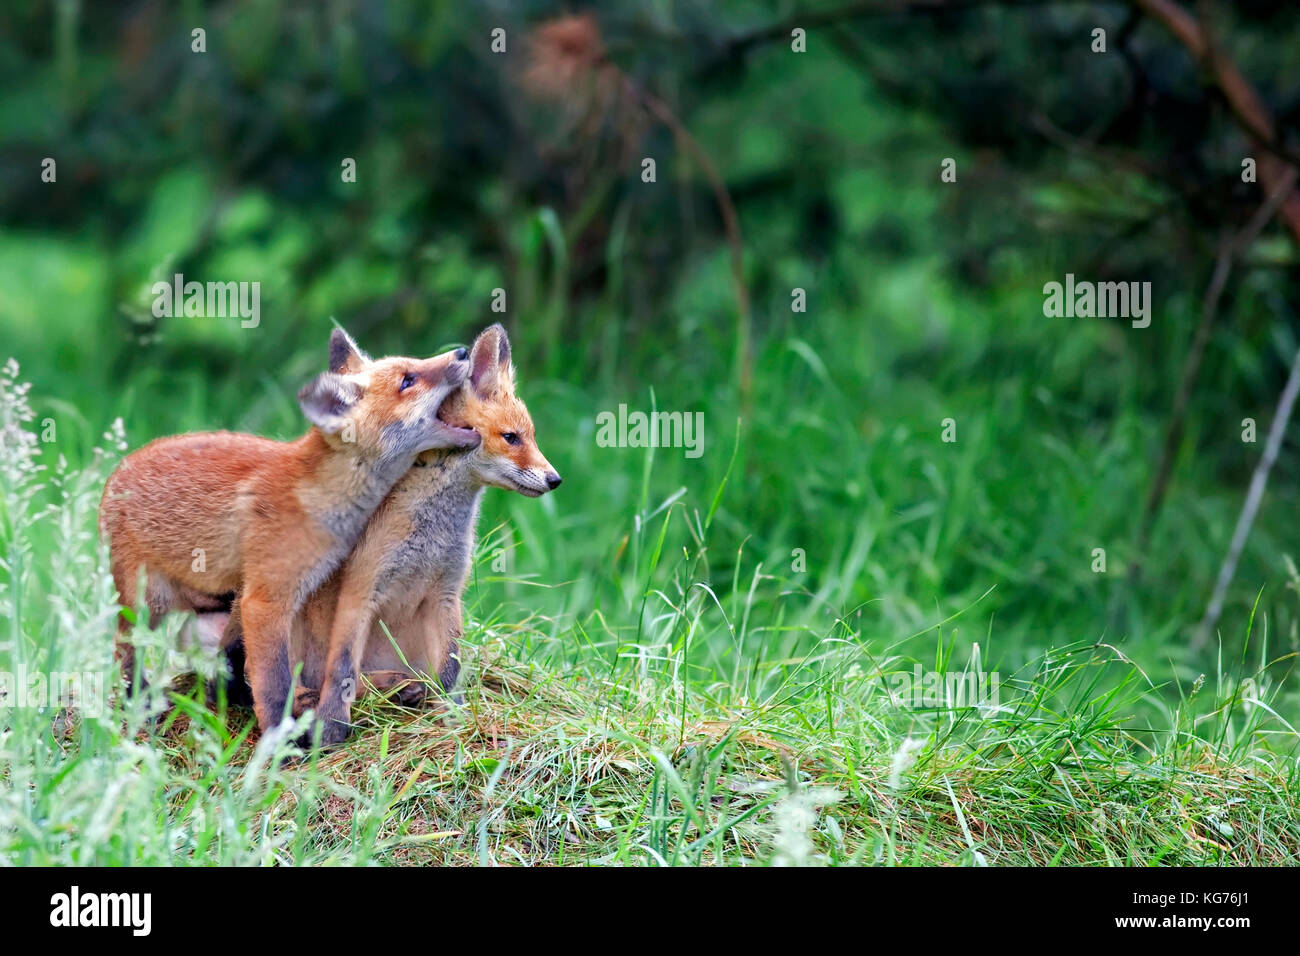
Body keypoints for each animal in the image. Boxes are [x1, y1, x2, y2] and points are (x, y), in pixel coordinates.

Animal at [98, 329, 478, 733]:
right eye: (408, 380)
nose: (462, 351)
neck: (316, 495)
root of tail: (120, 466)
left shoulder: (274, 593)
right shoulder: (266, 599)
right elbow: (273, 681)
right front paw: (280, 736)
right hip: (148, 603)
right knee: (126, 652)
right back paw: (139, 704)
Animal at [217, 325, 559, 743]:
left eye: (532, 437)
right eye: (511, 438)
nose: (555, 479)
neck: (432, 535)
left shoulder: (446, 594)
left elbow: (450, 670)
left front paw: (455, 722)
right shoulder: (360, 590)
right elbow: (341, 669)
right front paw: (331, 728)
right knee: (260, 677)